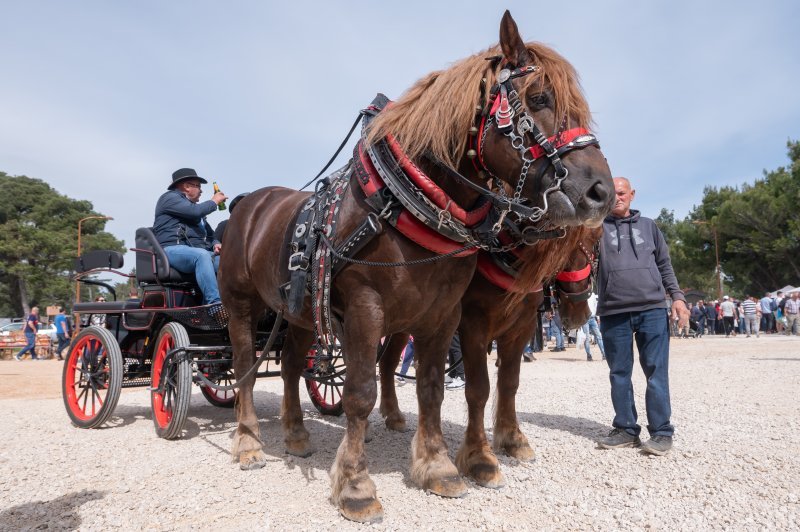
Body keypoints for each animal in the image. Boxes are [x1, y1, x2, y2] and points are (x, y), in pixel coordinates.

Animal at [380, 225, 600, 490]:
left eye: (597, 239)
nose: (581, 313)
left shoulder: (522, 328)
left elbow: (509, 384)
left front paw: (513, 439)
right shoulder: (474, 325)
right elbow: (478, 390)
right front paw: (480, 459)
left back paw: (392, 413)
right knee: (388, 362)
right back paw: (392, 413)